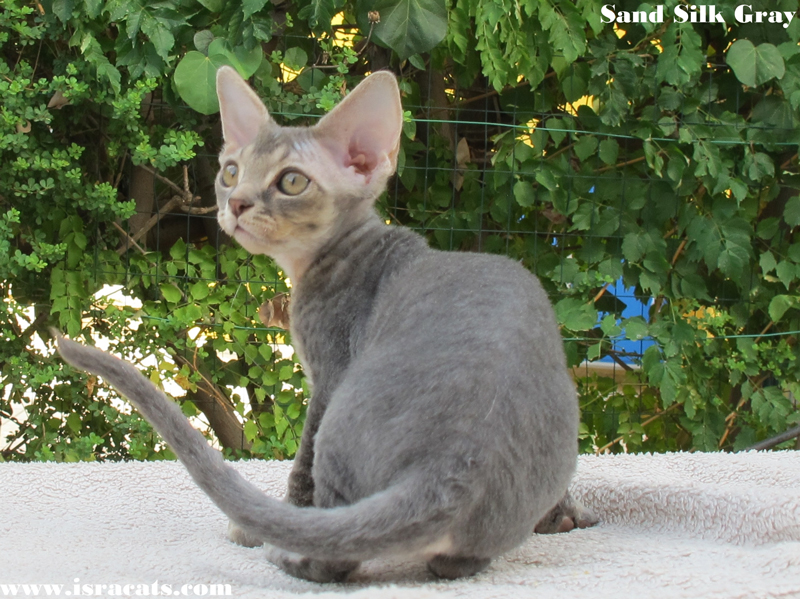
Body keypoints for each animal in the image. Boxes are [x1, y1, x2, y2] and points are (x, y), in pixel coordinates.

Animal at [54, 68, 592, 584]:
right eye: (231, 171)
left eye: (292, 182)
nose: (236, 203)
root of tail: (453, 469)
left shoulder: (329, 369)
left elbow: (300, 470)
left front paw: (265, 526)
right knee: (458, 561)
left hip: (345, 416)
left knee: (338, 546)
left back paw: (289, 553)